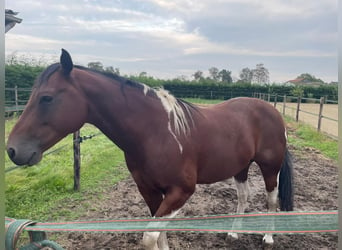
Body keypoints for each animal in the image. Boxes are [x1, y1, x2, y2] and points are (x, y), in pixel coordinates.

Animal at [6, 49, 292, 250]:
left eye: (47, 98)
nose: (12, 150)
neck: (155, 133)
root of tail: (271, 110)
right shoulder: (151, 192)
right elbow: (159, 235)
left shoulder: (181, 191)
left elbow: (150, 236)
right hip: (240, 167)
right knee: (243, 196)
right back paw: (233, 233)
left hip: (269, 167)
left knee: (271, 198)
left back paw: (268, 238)